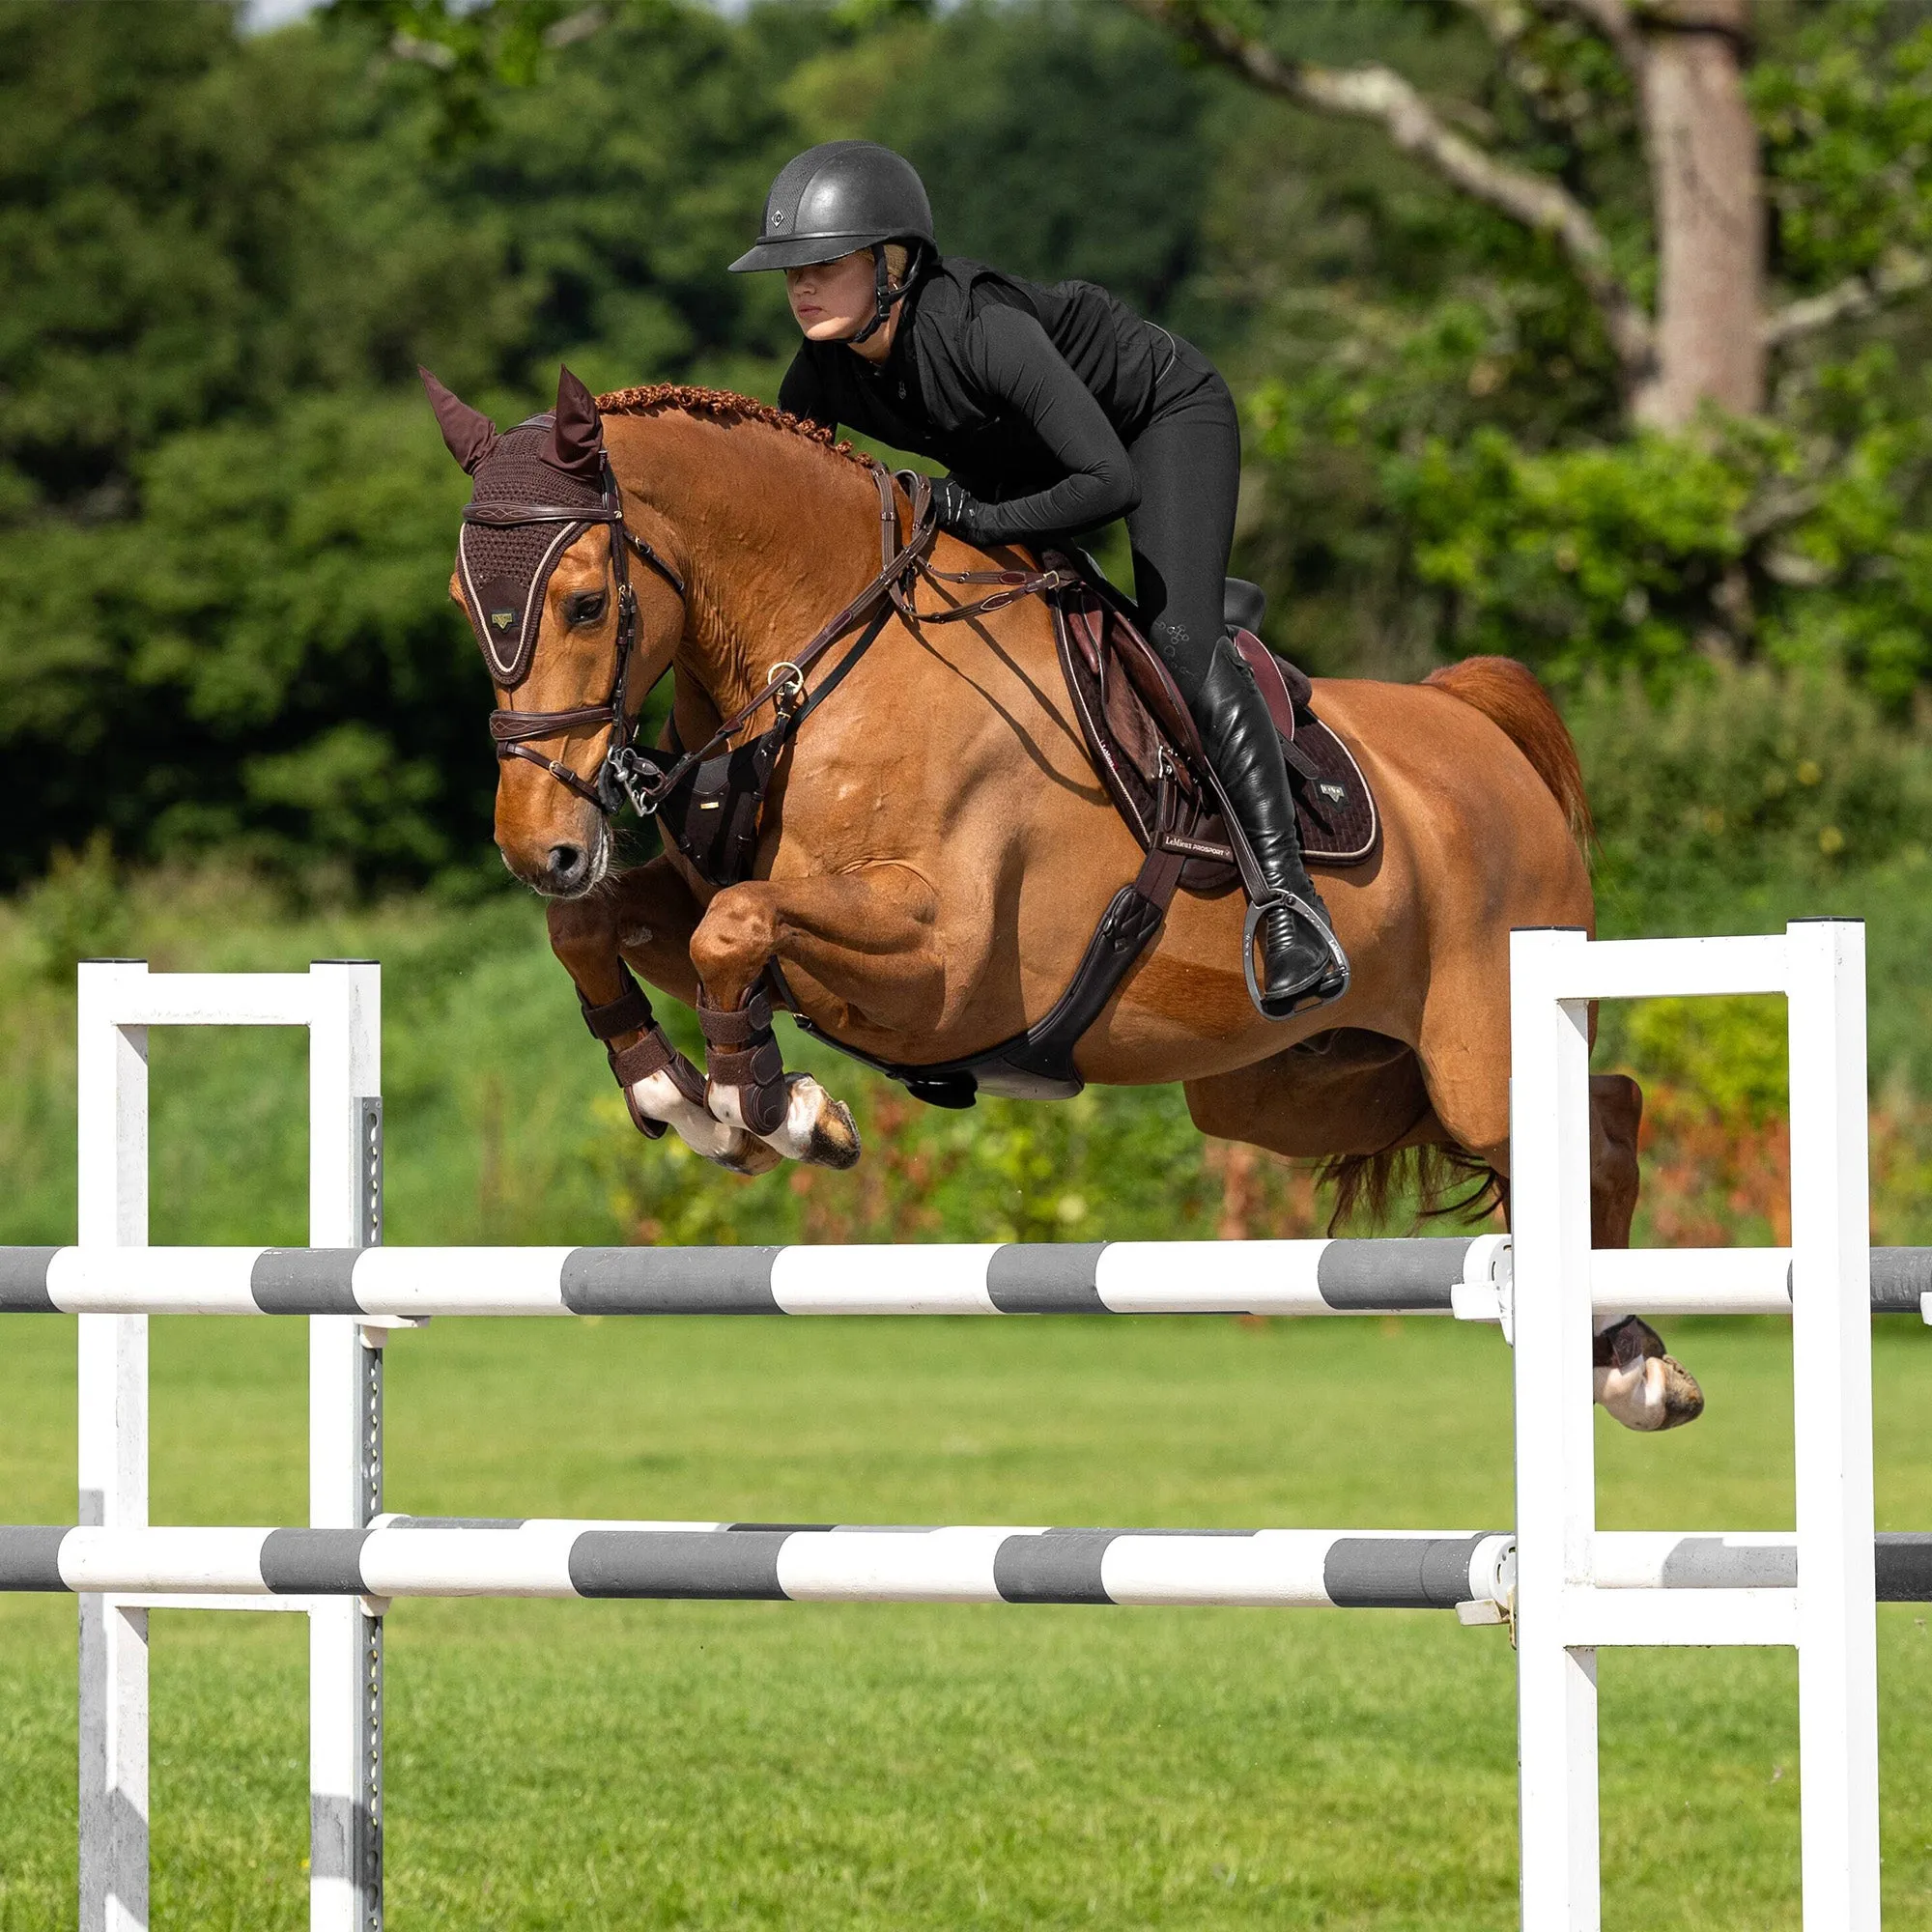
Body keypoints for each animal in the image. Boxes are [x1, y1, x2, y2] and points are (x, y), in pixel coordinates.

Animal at [431, 369, 1700, 1437]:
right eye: (460, 597)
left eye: (583, 603)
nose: (539, 845)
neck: (823, 662)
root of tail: (1480, 725)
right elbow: (608, 926)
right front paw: (675, 1093)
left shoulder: (939, 968)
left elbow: (730, 924)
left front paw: (779, 1109)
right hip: (1292, 1085)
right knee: (1586, 1110)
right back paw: (1622, 1348)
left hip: (1476, 1046)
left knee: (1598, 1119)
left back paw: (1631, 1362)